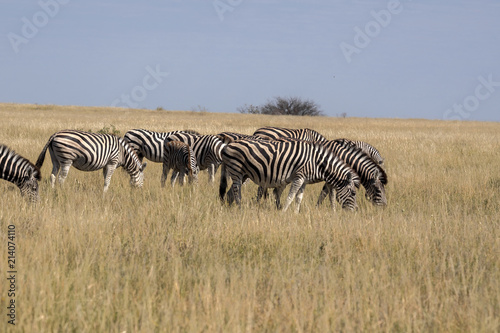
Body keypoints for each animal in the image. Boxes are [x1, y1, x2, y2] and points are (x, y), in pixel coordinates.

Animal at [220, 138, 360, 211]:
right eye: (353, 193)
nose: (356, 210)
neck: (317, 163)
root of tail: (227, 145)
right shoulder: (299, 177)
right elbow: (291, 196)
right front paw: (284, 211)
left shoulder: (304, 180)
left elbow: (298, 198)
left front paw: (296, 213)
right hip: (236, 169)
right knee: (237, 190)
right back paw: (240, 208)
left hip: (244, 174)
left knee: (230, 192)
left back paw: (230, 209)